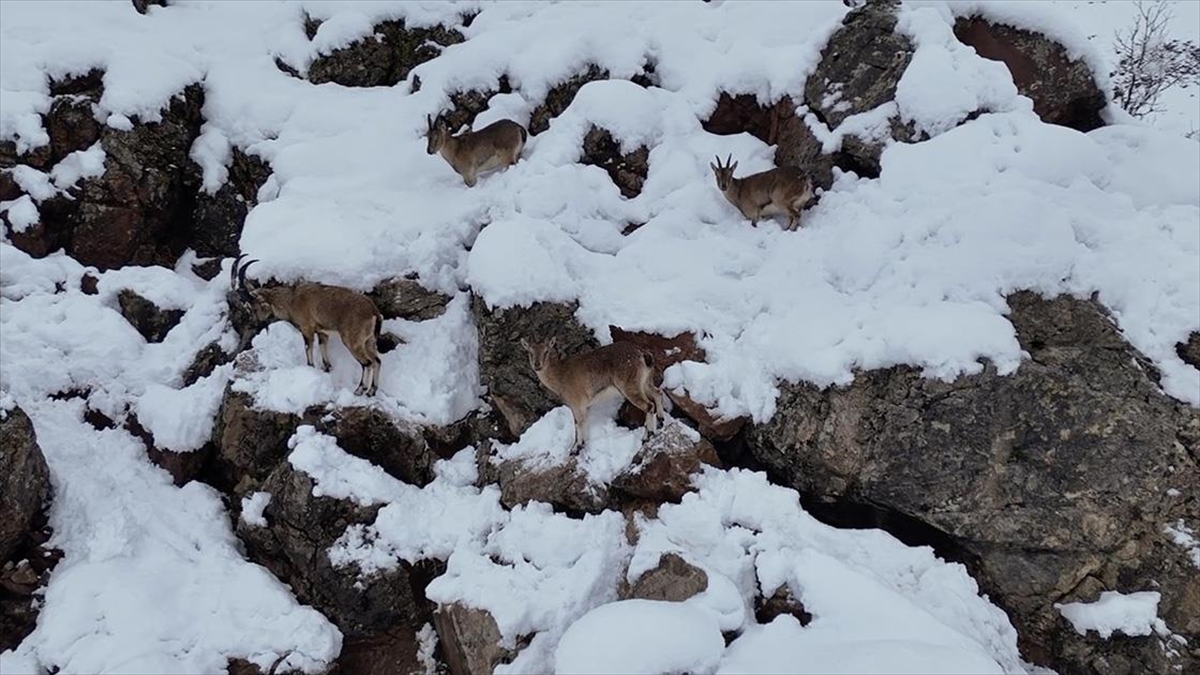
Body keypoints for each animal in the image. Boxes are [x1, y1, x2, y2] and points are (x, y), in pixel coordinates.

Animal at [231, 254, 386, 396]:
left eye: (253, 308)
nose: (252, 323)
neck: (291, 300)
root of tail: (373, 312)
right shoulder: (322, 332)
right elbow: (323, 347)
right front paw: (326, 368)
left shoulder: (306, 328)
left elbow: (308, 347)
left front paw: (310, 367)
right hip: (369, 341)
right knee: (377, 361)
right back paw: (372, 390)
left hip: (353, 341)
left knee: (367, 363)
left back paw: (360, 389)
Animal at [520, 333, 667, 449]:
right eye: (530, 352)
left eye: (546, 351)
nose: (537, 365)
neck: (560, 376)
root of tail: (642, 354)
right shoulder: (582, 406)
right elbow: (582, 422)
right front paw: (582, 444)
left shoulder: (577, 404)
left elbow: (578, 424)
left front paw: (575, 448)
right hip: (645, 382)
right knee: (657, 393)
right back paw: (661, 420)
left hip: (630, 387)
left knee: (648, 406)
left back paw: (647, 436)